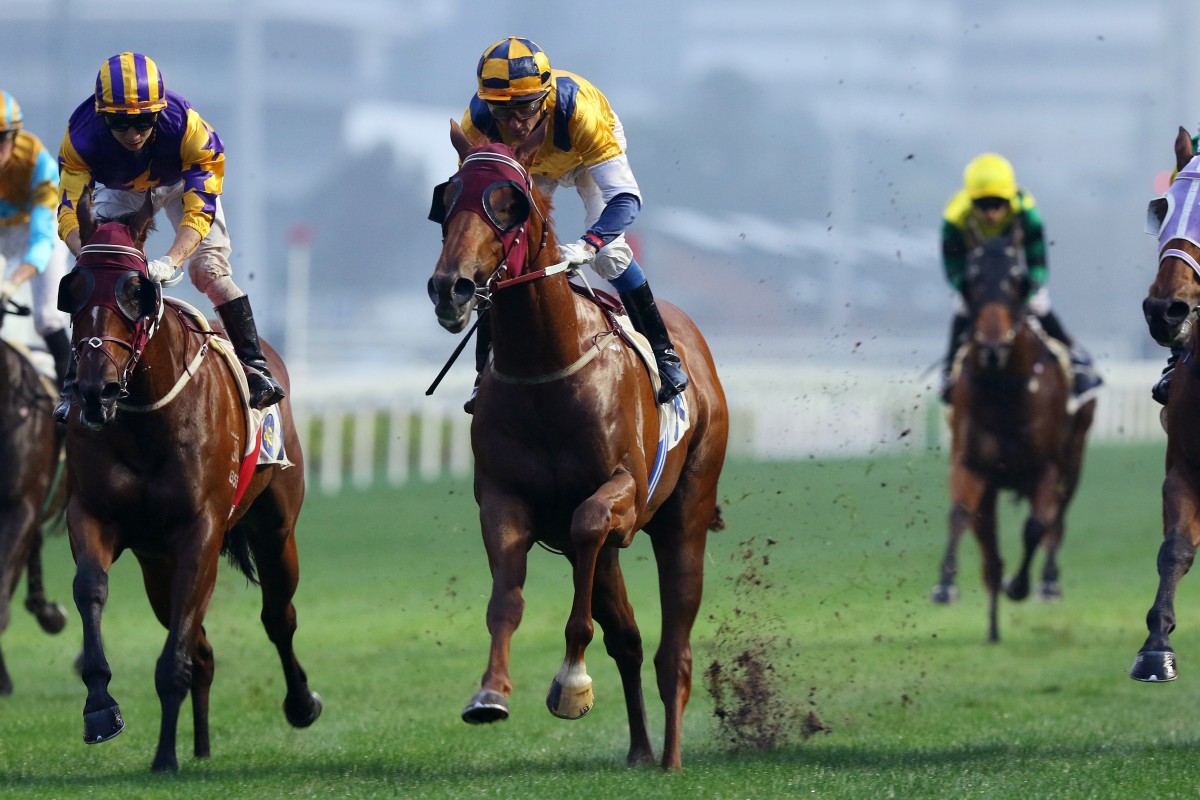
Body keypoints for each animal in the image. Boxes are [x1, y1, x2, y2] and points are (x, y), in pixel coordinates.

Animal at [58, 190, 321, 772]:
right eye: (73, 288)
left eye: (137, 290)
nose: (93, 390)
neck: (142, 417)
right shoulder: (93, 514)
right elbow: (90, 589)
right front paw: (100, 709)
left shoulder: (200, 530)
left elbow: (176, 653)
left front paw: (163, 757)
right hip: (156, 561)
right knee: (201, 648)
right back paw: (198, 744)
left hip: (275, 531)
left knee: (278, 616)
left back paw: (300, 703)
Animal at [429, 123, 729, 767]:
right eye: (447, 196)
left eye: (509, 202)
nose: (451, 287)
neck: (548, 369)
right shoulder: (503, 499)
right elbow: (506, 600)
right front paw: (491, 692)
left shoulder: (622, 496)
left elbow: (589, 532)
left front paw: (570, 682)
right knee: (632, 643)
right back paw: (640, 750)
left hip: (684, 518)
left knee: (674, 650)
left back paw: (670, 758)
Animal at [926, 232, 1099, 642]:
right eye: (971, 280)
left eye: (1016, 279)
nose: (992, 346)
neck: (1004, 390)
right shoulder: (972, 465)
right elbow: (961, 515)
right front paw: (947, 587)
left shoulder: (1046, 467)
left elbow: (1036, 526)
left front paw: (1018, 585)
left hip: (1074, 459)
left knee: (1056, 521)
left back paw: (1048, 582)